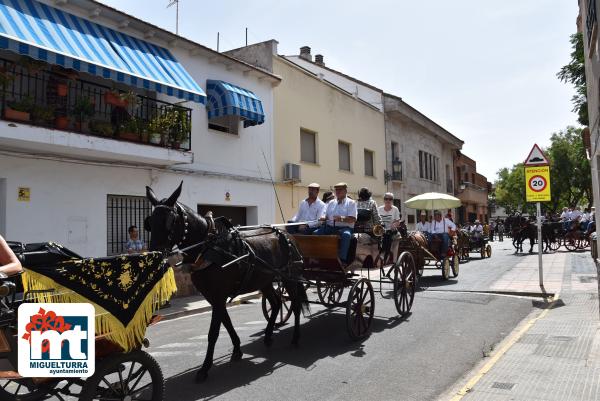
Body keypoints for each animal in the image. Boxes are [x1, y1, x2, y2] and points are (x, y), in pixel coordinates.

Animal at [145, 181, 310, 382]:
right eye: (149, 222)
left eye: (170, 221)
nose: (154, 255)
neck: (208, 248)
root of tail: (287, 235)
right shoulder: (213, 297)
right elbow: (227, 322)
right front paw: (237, 349)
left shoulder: (218, 296)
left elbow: (213, 332)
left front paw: (205, 368)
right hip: (265, 280)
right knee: (277, 303)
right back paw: (268, 336)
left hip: (289, 278)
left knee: (295, 303)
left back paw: (295, 338)